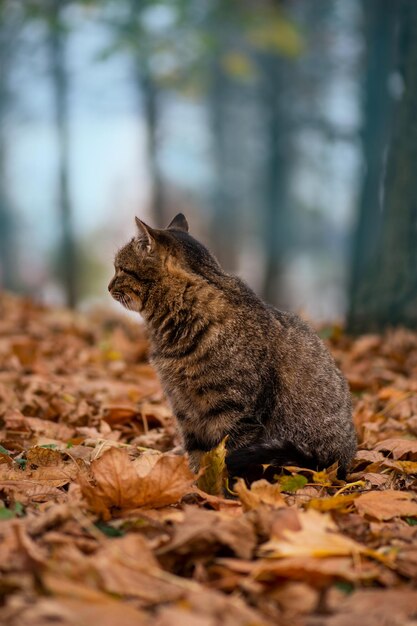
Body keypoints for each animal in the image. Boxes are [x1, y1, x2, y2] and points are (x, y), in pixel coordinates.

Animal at [109, 213, 356, 478]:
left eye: (120, 269)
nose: (108, 286)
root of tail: (344, 461)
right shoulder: (184, 409)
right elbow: (197, 454)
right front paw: (198, 483)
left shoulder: (235, 409)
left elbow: (229, 455)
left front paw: (224, 486)